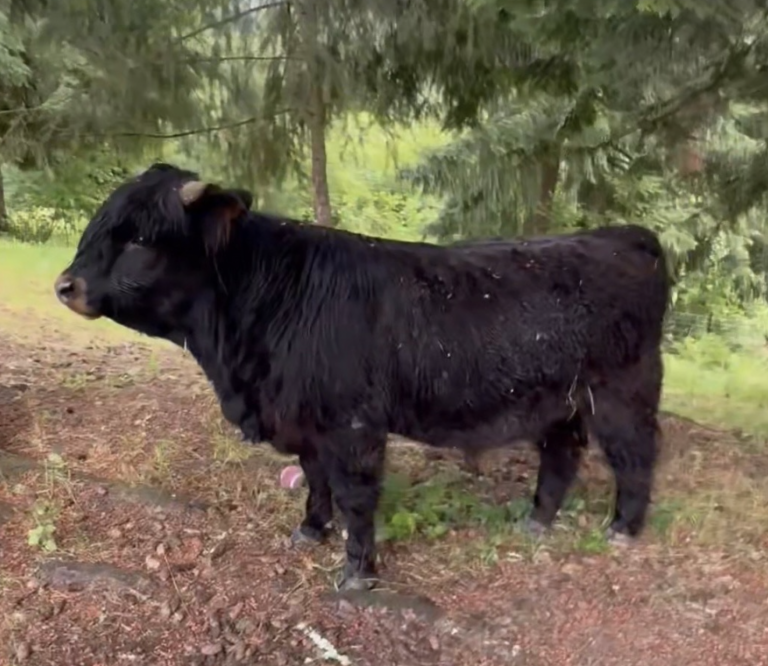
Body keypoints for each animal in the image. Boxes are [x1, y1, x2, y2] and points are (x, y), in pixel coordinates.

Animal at [54, 163, 670, 591]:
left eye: (139, 239)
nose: (65, 285)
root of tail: (623, 234)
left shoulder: (353, 425)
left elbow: (355, 495)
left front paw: (358, 570)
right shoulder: (305, 422)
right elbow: (316, 480)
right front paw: (310, 530)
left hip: (622, 391)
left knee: (635, 456)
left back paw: (623, 529)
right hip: (560, 401)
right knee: (562, 453)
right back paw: (538, 520)